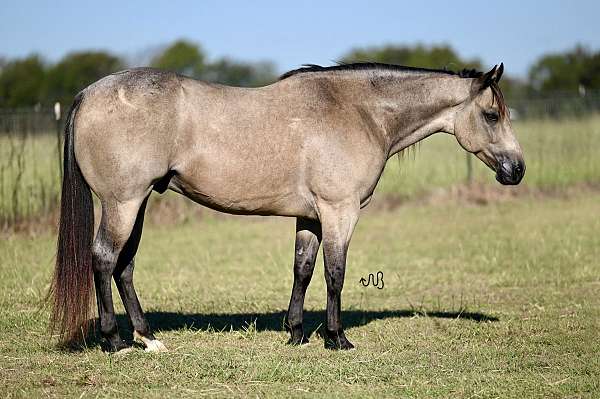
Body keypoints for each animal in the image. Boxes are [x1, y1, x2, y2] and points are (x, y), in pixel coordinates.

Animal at [49, 61, 524, 354]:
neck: (357, 111)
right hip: (123, 203)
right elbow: (335, 273)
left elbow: (303, 269)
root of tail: (88, 93)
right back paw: (115, 341)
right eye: (492, 115)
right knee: (104, 259)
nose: (516, 169)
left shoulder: (310, 216)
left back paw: (148, 339)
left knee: (124, 266)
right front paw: (337, 339)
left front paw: (296, 333)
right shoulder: (339, 212)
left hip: (140, 201)